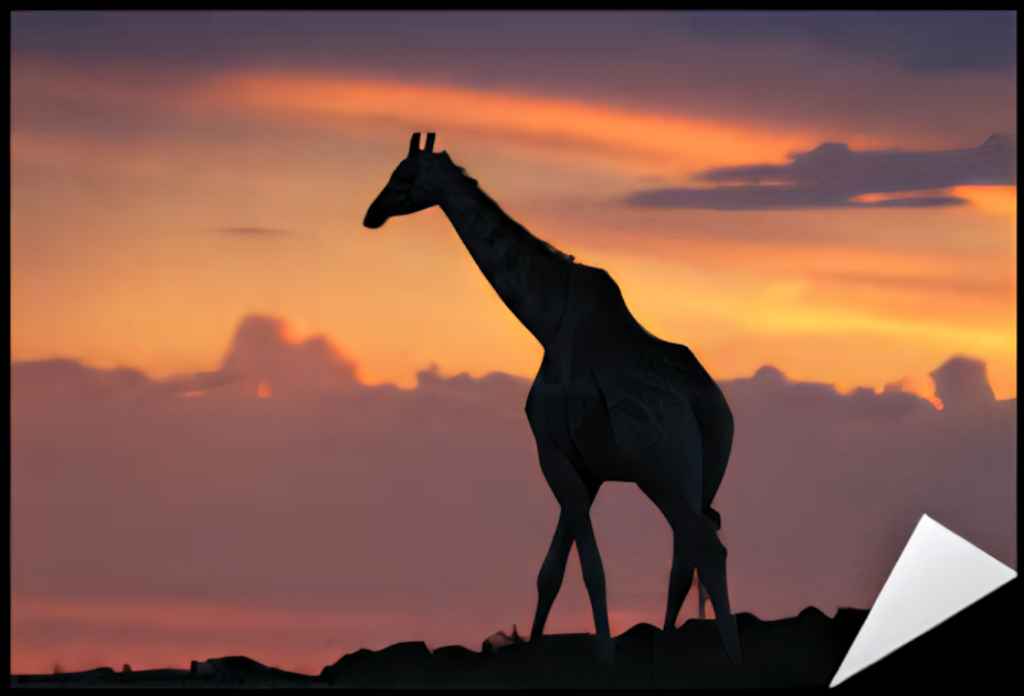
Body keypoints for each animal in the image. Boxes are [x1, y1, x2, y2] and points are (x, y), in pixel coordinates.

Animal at [363, 133, 742, 666]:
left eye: (404, 175)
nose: (371, 214)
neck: (544, 321)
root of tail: (706, 406)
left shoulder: (551, 451)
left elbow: (589, 570)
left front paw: (604, 658)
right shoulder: (586, 467)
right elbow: (551, 572)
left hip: (663, 469)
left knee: (705, 546)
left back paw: (731, 658)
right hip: (699, 473)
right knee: (688, 549)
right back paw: (668, 653)